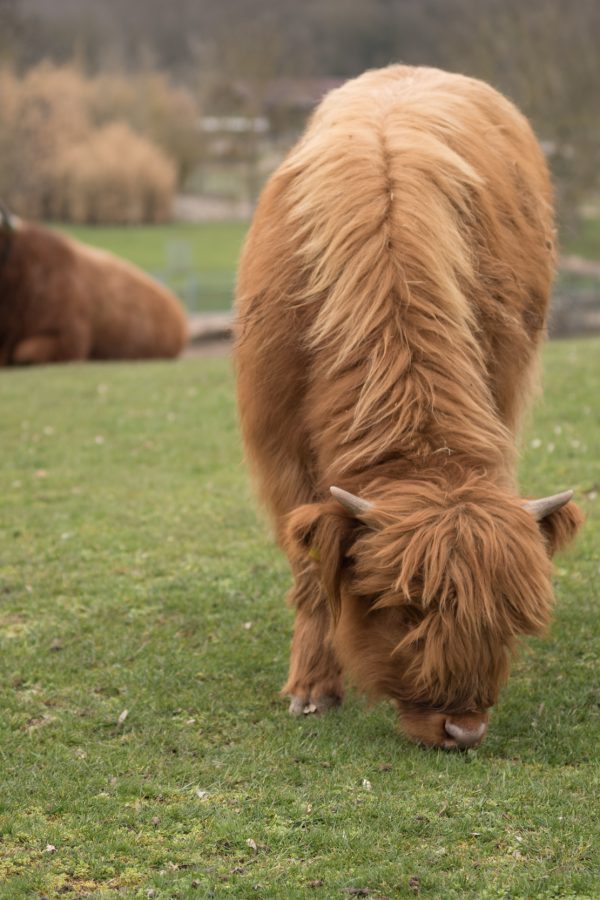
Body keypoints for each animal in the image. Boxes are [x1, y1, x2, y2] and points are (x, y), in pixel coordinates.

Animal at [233, 67, 580, 748]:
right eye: (405, 609)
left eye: (506, 616)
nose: (463, 729)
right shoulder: (277, 445)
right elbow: (311, 570)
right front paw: (312, 689)